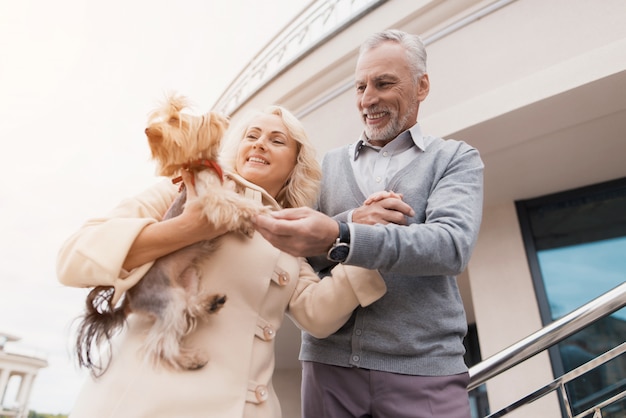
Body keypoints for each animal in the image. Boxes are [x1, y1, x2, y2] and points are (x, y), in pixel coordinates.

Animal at [76, 94, 266, 376]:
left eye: (175, 120)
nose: (150, 130)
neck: (203, 165)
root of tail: (129, 301)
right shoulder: (211, 199)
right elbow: (233, 202)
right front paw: (255, 212)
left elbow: (234, 196)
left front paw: (245, 225)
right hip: (168, 300)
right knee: (161, 342)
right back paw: (190, 359)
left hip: (190, 276)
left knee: (190, 306)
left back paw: (209, 303)